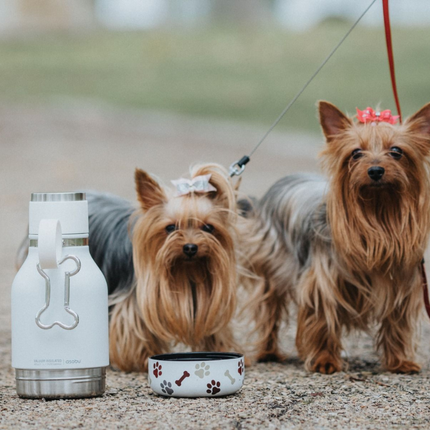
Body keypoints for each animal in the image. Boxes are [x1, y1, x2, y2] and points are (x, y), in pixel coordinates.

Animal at [88, 163, 240, 372]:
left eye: (208, 227)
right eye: (170, 227)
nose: (190, 247)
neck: (186, 271)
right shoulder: (134, 303)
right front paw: (141, 359)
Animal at [242, 101, 430, 372]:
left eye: (396, 151)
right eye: (356, 153)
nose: (375, 170)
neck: (378, 214)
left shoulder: (402, 284)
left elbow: (397, 323)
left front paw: (400, 362)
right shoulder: (322, 281)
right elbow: (323, 319)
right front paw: (324, 361)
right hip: (271, 270)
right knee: (269, 311)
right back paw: (269, 352)